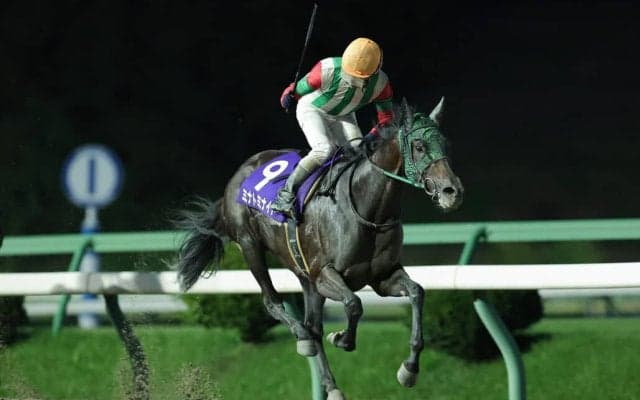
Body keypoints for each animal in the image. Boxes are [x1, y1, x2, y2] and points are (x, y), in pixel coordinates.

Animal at [174, 98, 464, 399]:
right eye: (419, 146)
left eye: (445, 144)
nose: (452, 191)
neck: (368, 208)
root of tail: (235, 179)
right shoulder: (324, 273)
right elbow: (354, 304)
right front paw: (341, 338)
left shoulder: (382, 277)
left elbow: (417, 293)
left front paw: (409, 369)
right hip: (250, 245)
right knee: (275, 304)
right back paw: (302, 338)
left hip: (303, 273)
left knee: (313, 325)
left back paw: (331, 385)